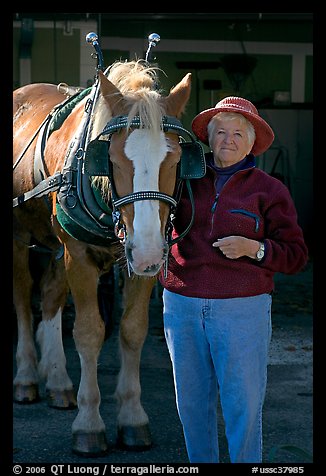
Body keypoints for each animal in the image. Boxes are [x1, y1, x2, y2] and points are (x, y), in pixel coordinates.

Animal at [14, 59, 205, 458]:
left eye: (176, 158)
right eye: (112, 158)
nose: (147, 251)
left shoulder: (140, 262)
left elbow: (132, 330)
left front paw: (132, 418)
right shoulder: (79, 257)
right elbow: (89, 332)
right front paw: (89, 425)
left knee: (51, 297)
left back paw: (58, 380)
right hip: (22, 237)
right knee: (24, 297)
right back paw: (26, 376)